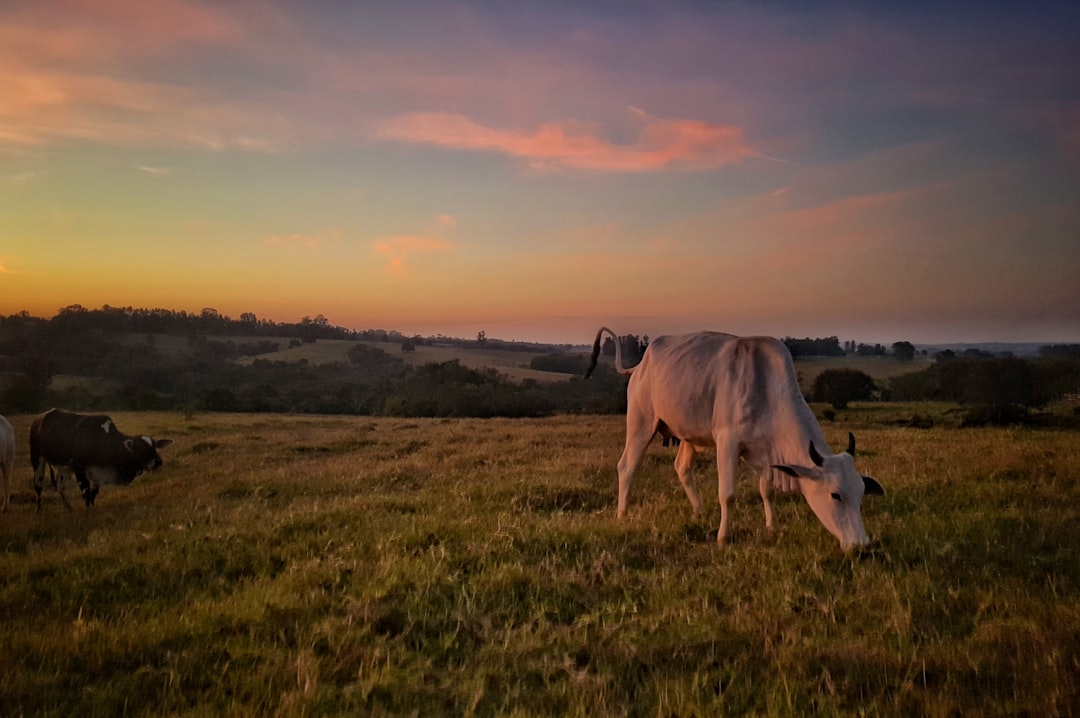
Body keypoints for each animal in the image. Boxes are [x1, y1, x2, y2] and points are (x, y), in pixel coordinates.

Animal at [29, 408, 170, 509]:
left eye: (155, 447)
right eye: (141, 449)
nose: (158, 461)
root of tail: (40, 418)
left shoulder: (96, 472)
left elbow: (93, 494)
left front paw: (92, 509)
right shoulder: (79, 468)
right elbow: (86, 492)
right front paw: (88, 512)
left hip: (64, 468)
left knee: (60, 487)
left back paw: (69, 509)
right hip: (37, 459)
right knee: (38, 486)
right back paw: (39, 510)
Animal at [587, 328, 881, 550]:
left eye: (861, 493)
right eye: (835, 495)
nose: (862, 546)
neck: (766, 388)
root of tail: (639, 366)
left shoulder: (766, 453)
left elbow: (767, 490)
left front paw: (772, 526)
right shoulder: (727, 443)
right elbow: (727, 494)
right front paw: (723, 537)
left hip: (689, 436)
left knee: (681, 468)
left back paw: (699, 512)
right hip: (641, 424)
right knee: (627, 467)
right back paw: (622, 514)